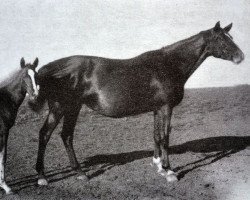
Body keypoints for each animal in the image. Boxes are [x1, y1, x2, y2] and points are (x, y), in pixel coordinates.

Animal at [0, 57, 38, 194]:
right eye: (24, 76)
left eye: (36, 75)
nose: (35, 95)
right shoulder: (3, 132)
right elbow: (3, 157)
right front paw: (6, 187)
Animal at [29, 21, 244, 185]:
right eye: (221, 39)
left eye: (231, 37)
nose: (240, 57)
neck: (169, 65)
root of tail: (46, 69)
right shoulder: (166, 107)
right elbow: (165, 137)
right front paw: (169, 171)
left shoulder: (157, 109)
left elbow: (156, 136)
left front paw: (158, 165)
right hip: (61, 107)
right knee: (46, 134)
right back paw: (42, 177)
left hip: (72, 107)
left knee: (65, 135)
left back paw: (79, 173)